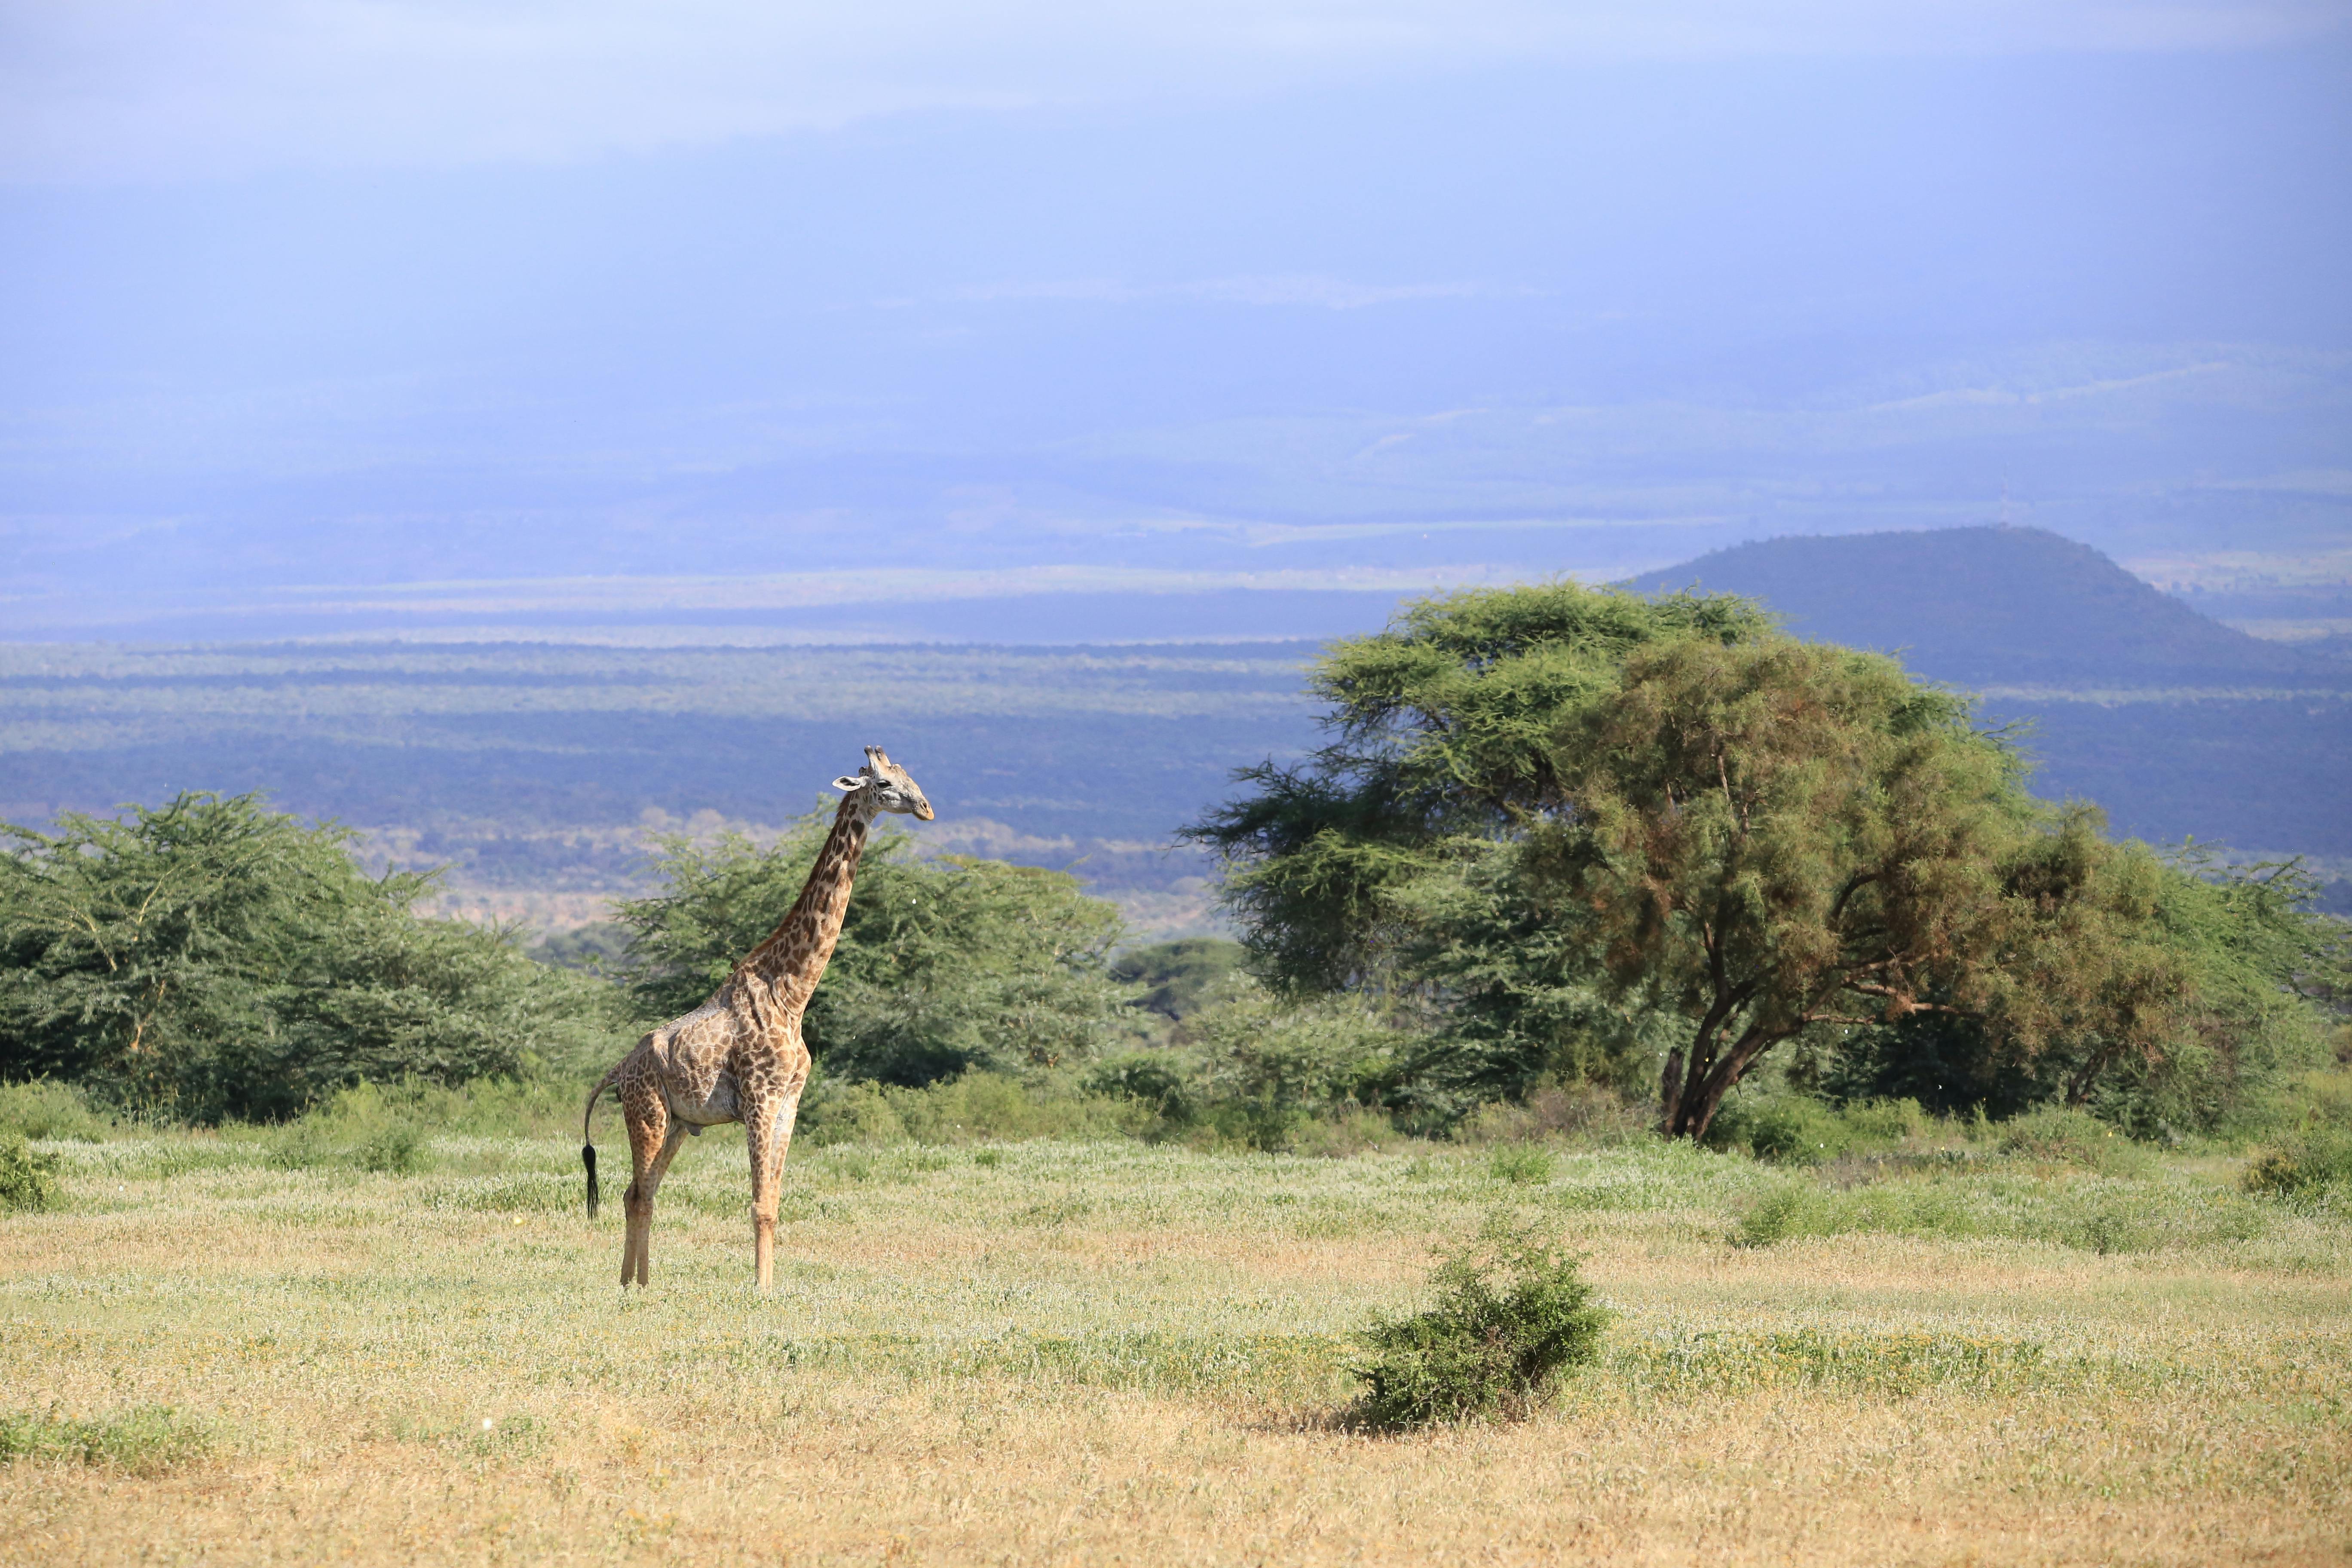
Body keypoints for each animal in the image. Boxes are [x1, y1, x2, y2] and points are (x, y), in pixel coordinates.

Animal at [580, 746, 933, 1290]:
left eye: (909, 776)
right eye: (885, 784)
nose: (926, 809)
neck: (792, 993)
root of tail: (618, 1069)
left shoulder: (789, 1102)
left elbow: (774, 1201)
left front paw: (770, 1283)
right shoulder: (760, 1099)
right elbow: (759, 1206)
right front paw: (761, 1290)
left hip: (678, 1123)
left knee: (639, 1193)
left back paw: (638, 1285)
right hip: (647, 1113)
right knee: (638, 1192)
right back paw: (631, 1285)